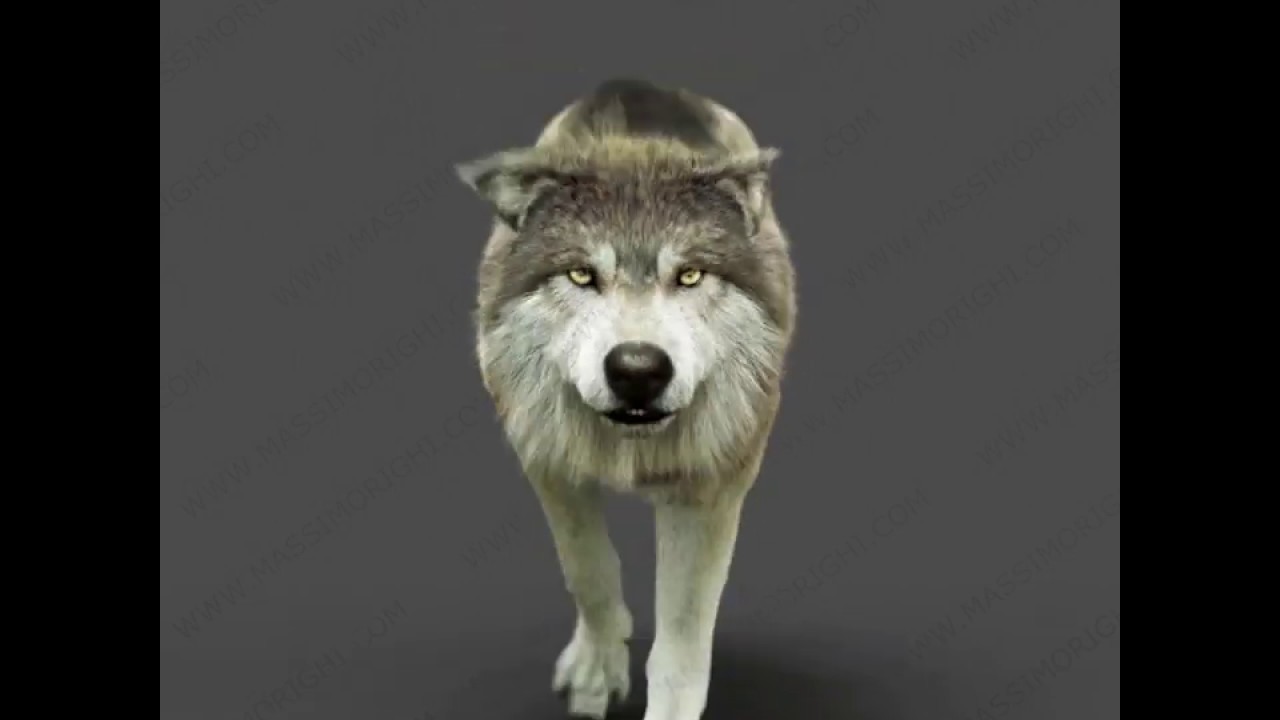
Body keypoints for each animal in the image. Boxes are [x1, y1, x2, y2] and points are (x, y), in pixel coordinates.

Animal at [456, 78, 797, 720]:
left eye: (689, 276)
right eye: (581, 275)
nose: (638, 370)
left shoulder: (709, 487)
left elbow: (681, 640)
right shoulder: (550, 464)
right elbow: (587, 569)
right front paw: (596, 670)